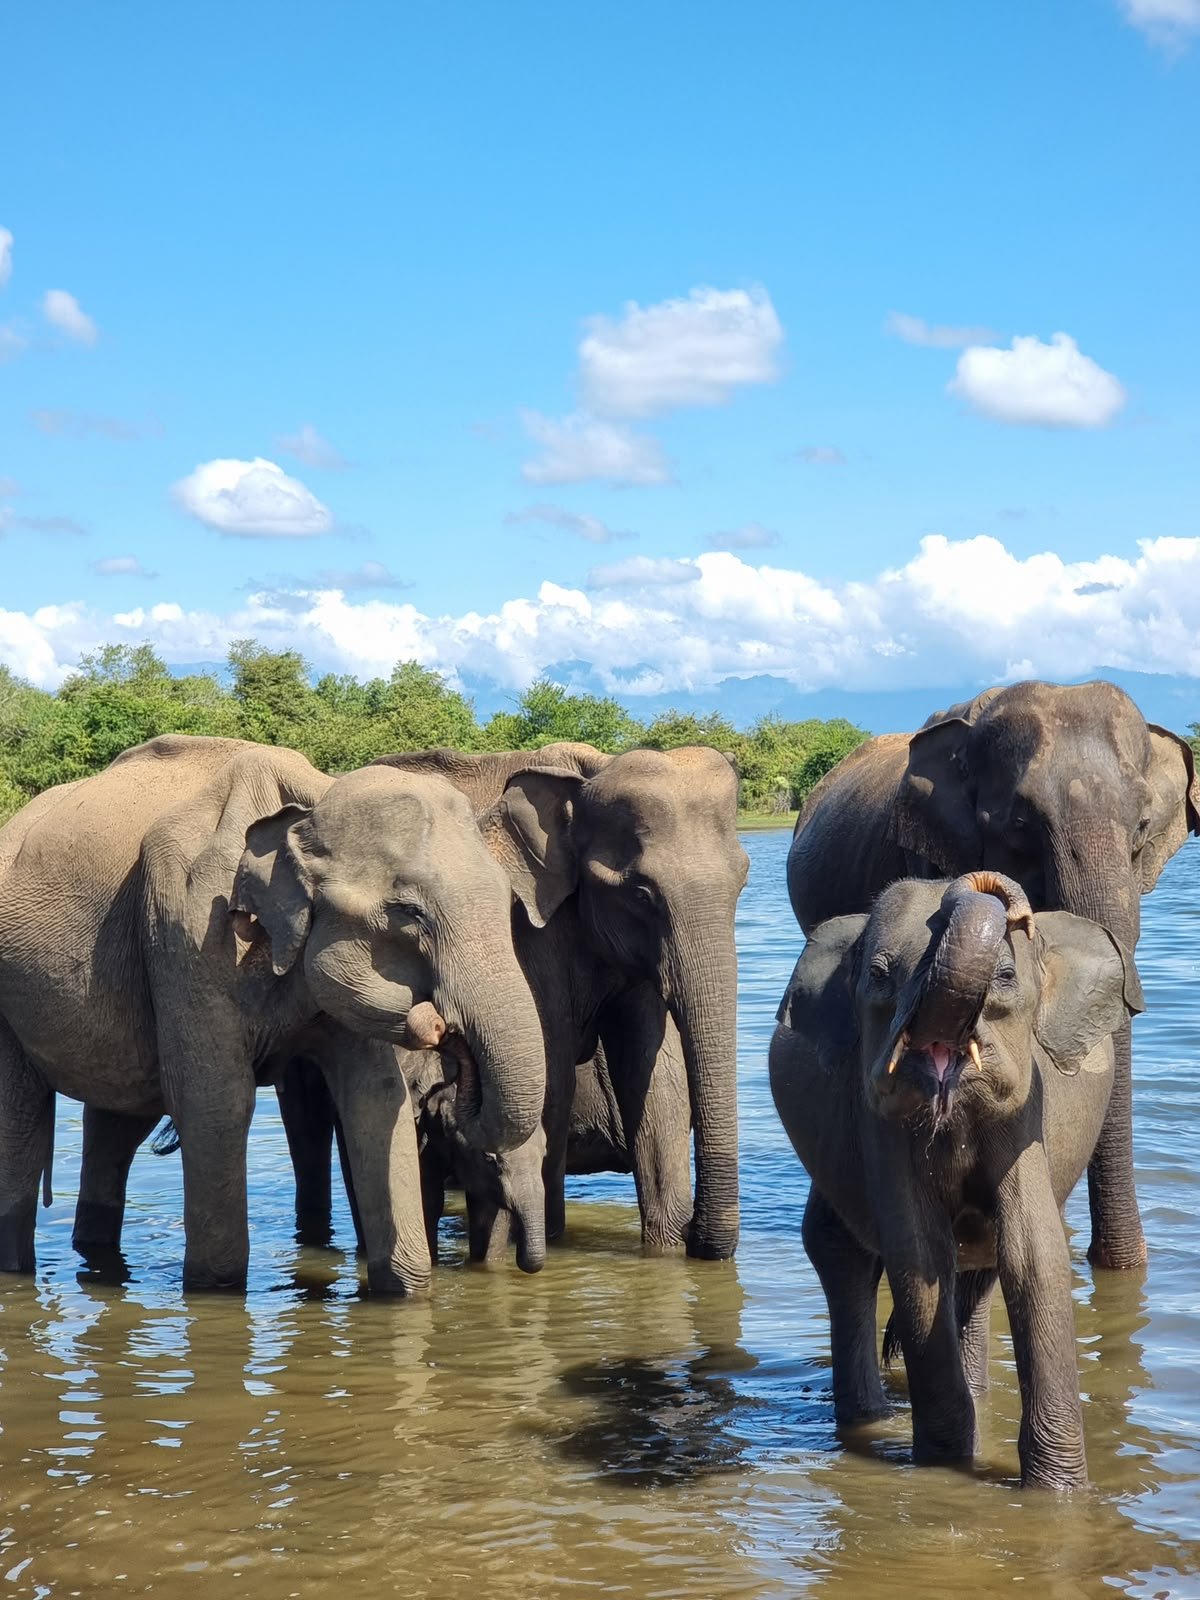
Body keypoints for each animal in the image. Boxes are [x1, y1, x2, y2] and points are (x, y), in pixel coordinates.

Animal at [0, 734, 545, 1292]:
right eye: (408, 912)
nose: (439, 1025)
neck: (313, 802)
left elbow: (376, 1100)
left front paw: (405, 1292)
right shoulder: (187, 933)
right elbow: (217, 1104)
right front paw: (216, 1292)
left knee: (116, 1126)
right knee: (21, 1130)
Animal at [281, 741, 747, 1262]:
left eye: (743, 880)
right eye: (642, 892)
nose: (695, 1234)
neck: (589, 771)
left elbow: (655, 1078)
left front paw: (664, 1252)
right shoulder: (528, 930)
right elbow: (555, 1078)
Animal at [769, 870, 1135, 1488]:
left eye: (1006, 977)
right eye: (879, 975)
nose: (967, 885)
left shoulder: (1026, 1113)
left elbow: (1032, 1252)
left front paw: (1058, 1493)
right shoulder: (877, 1121)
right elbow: (919, 1257)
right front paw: (945, 1466)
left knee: (979, 1265)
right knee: (840, 1250)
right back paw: (869, 1421)